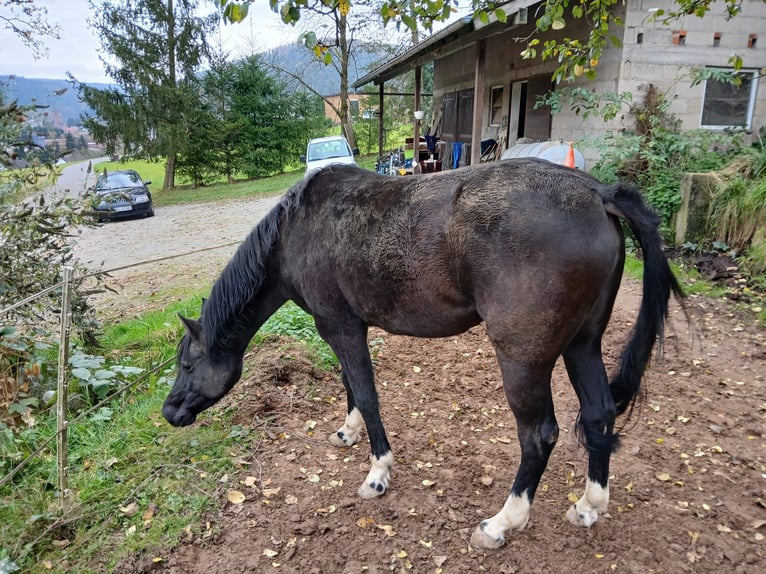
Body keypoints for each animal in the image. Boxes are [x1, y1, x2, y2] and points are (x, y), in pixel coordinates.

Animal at [164, 160, 684, 552]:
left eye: (187, 364)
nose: (171, 412)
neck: (297, 232)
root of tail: (597, 193)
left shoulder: (341, 327)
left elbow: (367, 393)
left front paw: (378, 473)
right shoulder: (342, 330)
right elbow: (350, 385)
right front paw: (347, 432)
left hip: (523, 361)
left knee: (539, 436)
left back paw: (502, 522)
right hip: (582, 345)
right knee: (598, 415)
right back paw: (589, 505)